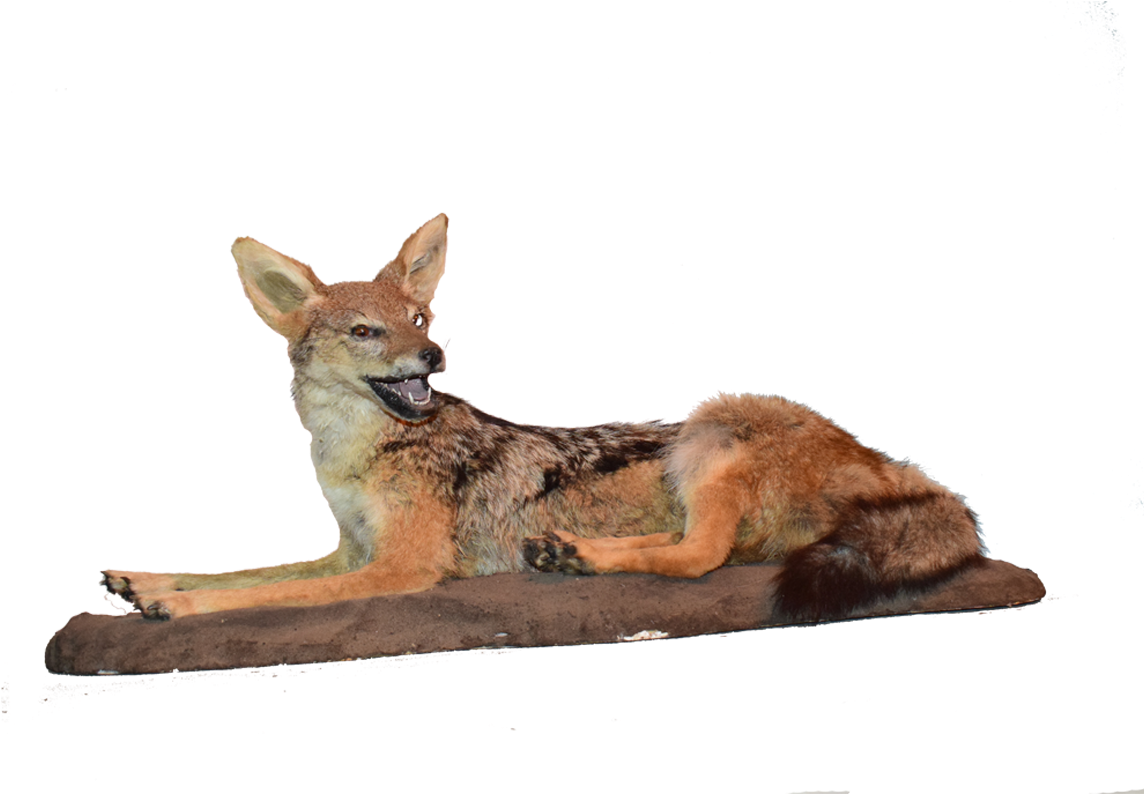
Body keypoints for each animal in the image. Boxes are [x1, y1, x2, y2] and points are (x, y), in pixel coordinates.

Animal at [102, 212, 989, 623]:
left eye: (421, 318)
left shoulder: (394, 569)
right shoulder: (348, 551)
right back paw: (567, 555)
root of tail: (895, 466)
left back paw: (578, 557)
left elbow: (264, 594)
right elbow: (245, 574)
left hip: (708, 424)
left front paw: (175, 610)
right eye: (365, 333)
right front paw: (143, 581)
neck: (354, 453)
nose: (434, 360)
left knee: (701, 557)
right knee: (690, 548)